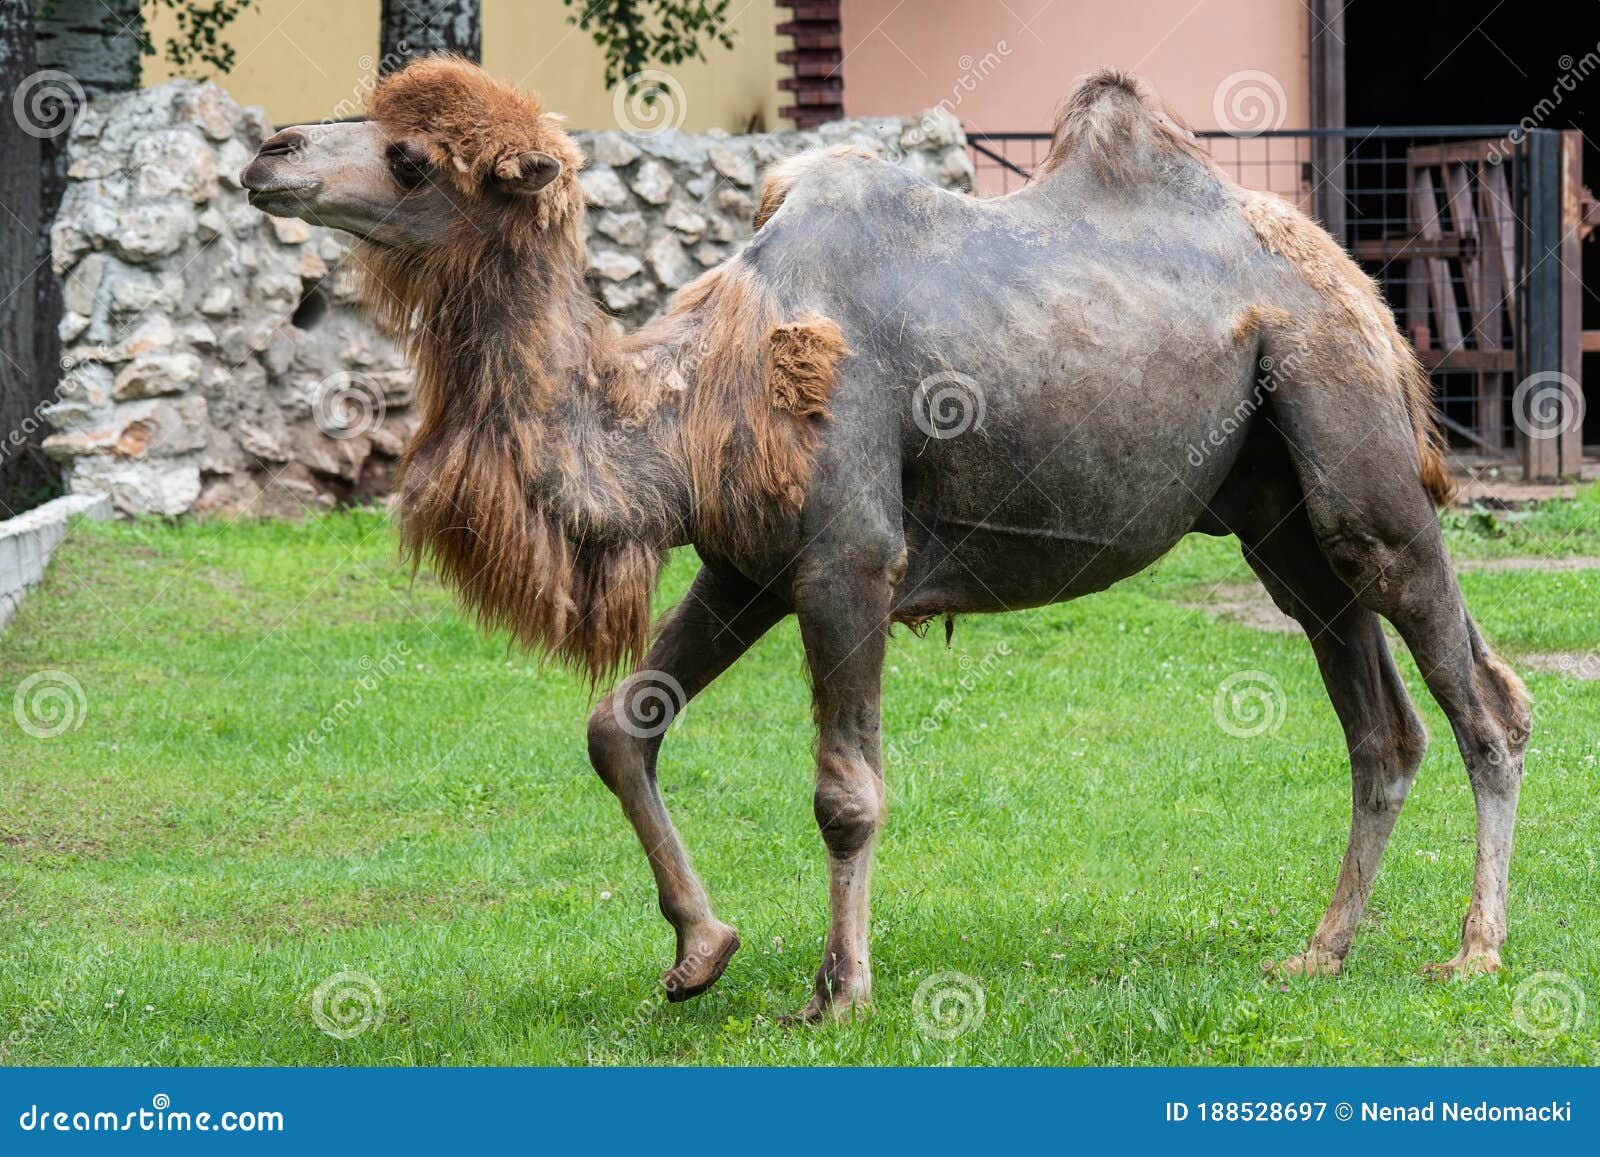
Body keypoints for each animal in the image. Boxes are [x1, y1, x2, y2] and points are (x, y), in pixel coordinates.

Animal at [243, 58, 1529, 1017]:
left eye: (411, 158)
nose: (266, 151)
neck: (688, 399)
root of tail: (1356, 282)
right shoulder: (745, 563)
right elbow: (621, 723)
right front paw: (699, 949)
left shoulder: (847, 560)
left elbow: (844, 792)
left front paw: (837, 989)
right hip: (1271, 509)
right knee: (1377, 720)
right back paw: (1318, 950)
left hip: (1347, 435)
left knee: (1479, 694)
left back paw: (1473, 949)